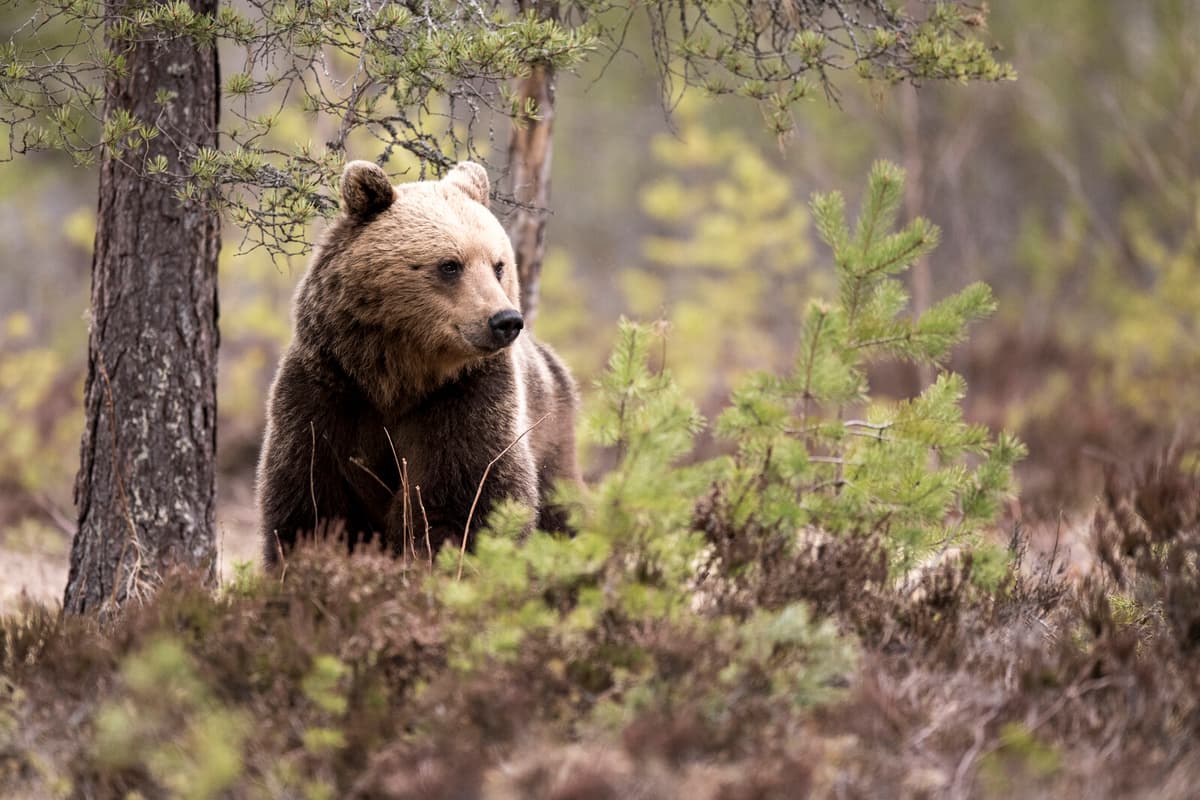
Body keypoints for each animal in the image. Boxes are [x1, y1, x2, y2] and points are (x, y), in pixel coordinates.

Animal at [256, 160, 579, 564]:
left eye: (498, 265)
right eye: (450, 265)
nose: (505, 320)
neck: (397, 375)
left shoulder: (465, 398)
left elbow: (464, 498)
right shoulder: (328, 391)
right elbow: (310, 498)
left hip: (550, 431)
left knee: (559, 509)